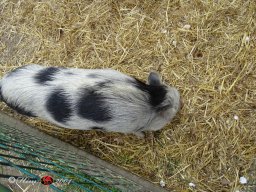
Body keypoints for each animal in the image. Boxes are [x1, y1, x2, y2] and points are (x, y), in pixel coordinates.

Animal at [0, 64, 182, 136]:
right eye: (173, 109)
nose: (182, 102)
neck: (150, 100)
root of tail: (4, 83)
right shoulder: (126, 126)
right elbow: (136, 132)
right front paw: (143, 137)